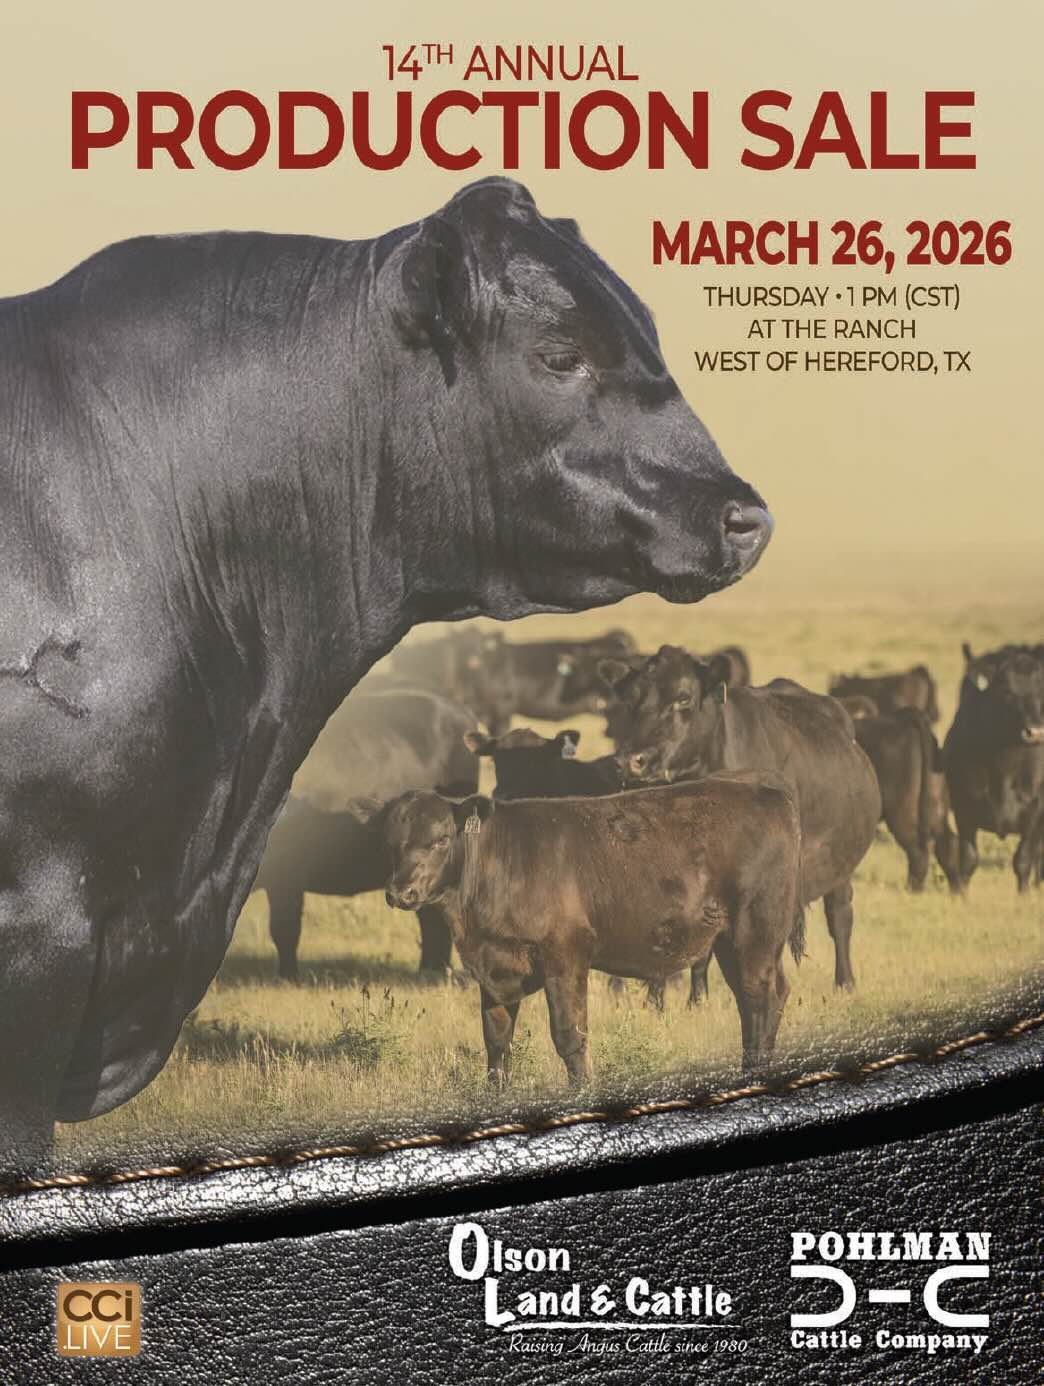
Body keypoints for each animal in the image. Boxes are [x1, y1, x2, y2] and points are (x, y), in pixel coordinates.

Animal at [376, 775, 804, 1082]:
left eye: (441, 839)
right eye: (392, 843)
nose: (401, 892)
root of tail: (773, 796)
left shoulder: (565, 956)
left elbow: (569, 1035)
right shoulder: (494, 968)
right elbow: (496, 1041)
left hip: (755, 931)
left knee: (759, 999)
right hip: (731, 941)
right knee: (763, 999)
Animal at [604, 646, 880, 991]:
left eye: (683, 698)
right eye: (630, 701)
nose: (632, 760)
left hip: (841, 865)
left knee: (840, 916)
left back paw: (845, 982)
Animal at [850, 709, 960, 892]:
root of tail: (904, 720)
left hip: (902, 814)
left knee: (918, 850)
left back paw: (911, 891)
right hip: (936, 807)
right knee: (947, 844)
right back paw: (958, 891)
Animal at [944, 651, 1044, 892]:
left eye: (1042, 690)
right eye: (1007, 692)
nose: (1035, 732)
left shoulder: (1035, 812)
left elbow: (1023, 861)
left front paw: (1024, 897)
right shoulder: (963, 809)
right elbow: (968, 860)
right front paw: (962, 896)